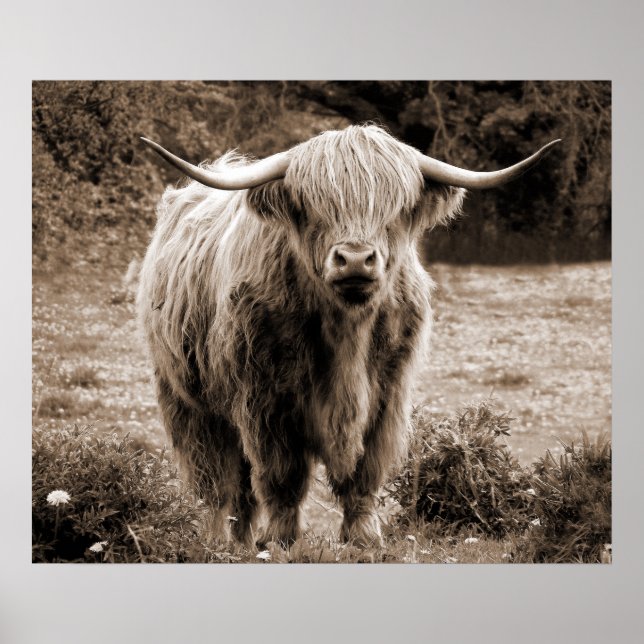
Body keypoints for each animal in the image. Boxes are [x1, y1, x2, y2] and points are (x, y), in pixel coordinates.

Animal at [138, 124, 558, 548]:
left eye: (395, 209)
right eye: (312, 206)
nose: (355, 259)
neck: (346, 335)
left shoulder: (386, 396)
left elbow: (364, 471)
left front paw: (364, 538)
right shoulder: (265, 400)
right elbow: (281, 474)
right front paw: (281, 540)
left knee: (239, 487)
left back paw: (240, 541)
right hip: (187, 401)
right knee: (214, 481)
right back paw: (215, 540)